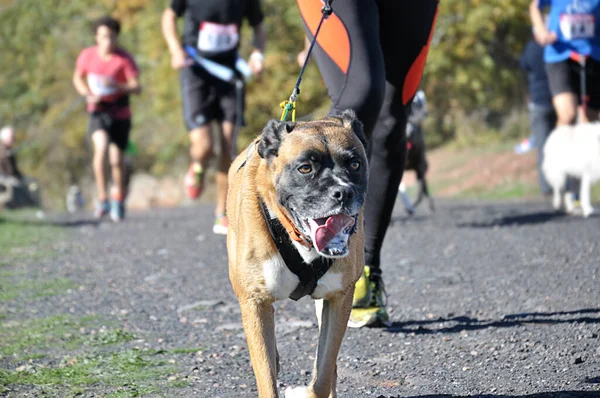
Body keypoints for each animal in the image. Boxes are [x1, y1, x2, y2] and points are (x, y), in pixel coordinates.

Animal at [229, 109, 370, 398]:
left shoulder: (338, 300)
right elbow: (267, 376)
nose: (343, 192)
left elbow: (324, 372)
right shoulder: (254, 304)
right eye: (305, 168)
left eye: (354, 164)